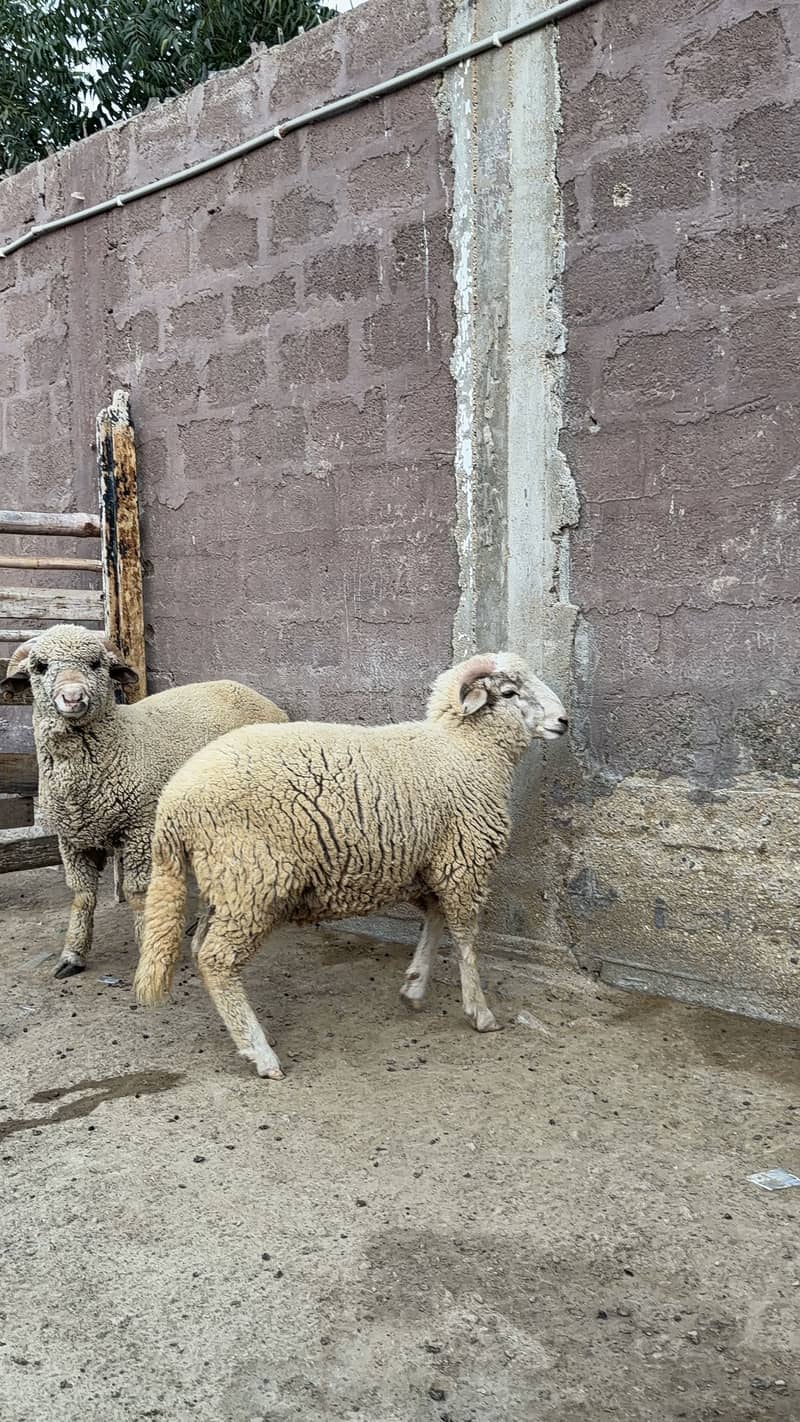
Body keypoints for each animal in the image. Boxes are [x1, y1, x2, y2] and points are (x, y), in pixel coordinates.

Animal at [1, 624, 288, 978]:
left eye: (96, 663)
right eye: (39, 667)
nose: (73, 698)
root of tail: (253, 693)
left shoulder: (139, 828)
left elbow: (138, 893)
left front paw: (145, 949)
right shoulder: (71, 838)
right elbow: (82, 895)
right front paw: (72, 955)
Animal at [133, 652, 568, 1079]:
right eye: (509, 692)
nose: (564, 721)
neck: (463, 750)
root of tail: (173, 804)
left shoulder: (426, 864)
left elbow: (434, 919)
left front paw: (414, 987)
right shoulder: (463, 860)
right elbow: (464, 939)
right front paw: (480, 1012)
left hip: (225, 883)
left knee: (199, 948)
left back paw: (244, 1038)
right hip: (252, 879)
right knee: (216, 960)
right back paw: (261, 1053)